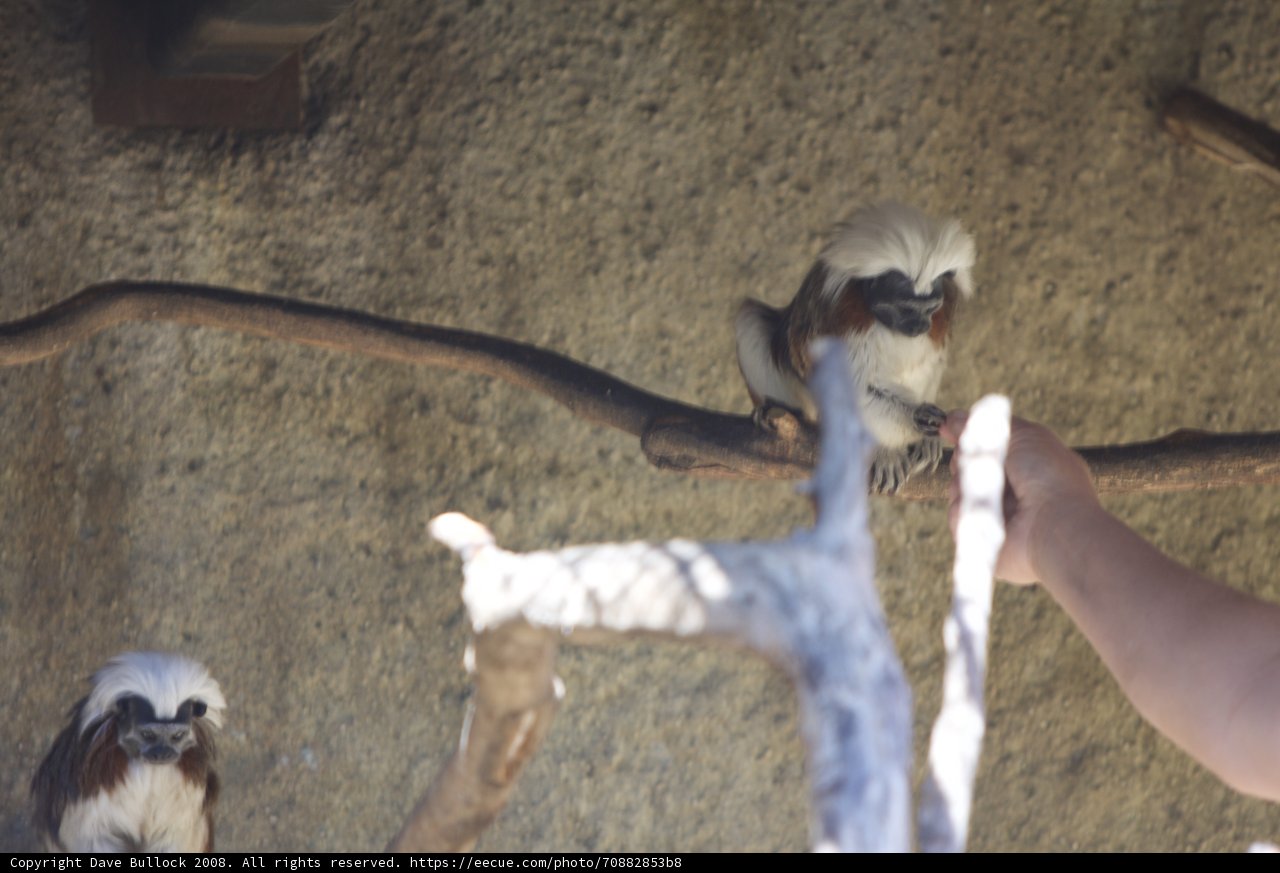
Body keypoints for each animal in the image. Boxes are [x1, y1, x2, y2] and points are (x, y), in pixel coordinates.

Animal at [31, 651, 226, 853]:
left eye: (177, 736)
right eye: (148, 735)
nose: (163, 753)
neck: (149, 770)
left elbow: (174, 834)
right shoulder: (91, 783)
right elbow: (92, 834)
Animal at [734, 202, 975, 493]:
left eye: (930, 308)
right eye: (907, 308)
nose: (920, 325)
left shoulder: (941, 319)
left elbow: (929, 364)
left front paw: (926, 438)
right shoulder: (847, 316)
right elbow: (850, 384)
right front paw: (916, 420)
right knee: (751, 320)